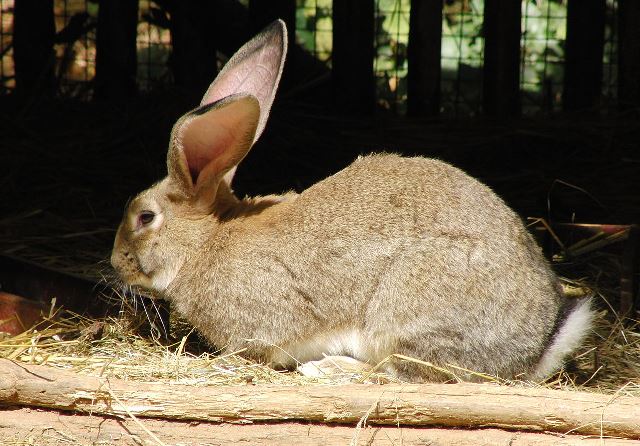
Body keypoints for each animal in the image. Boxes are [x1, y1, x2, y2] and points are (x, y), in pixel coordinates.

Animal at [111, 20, 596, 384]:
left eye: (145, 217)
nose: (116, 263)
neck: (205, 242)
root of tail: (537, 348)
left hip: (408, 310)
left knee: (408, 373)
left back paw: (329, 368)